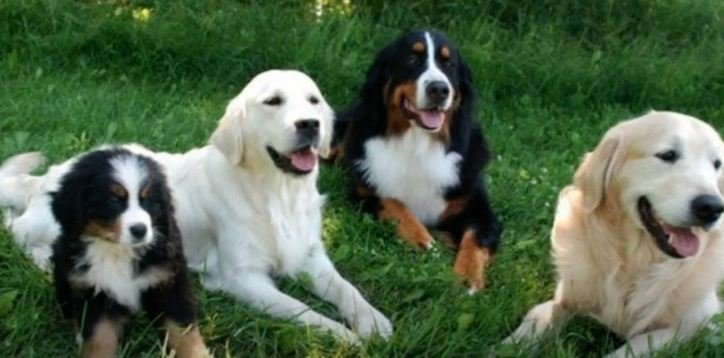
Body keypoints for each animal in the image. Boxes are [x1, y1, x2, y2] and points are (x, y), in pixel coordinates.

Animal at [50, 148, 209, 358]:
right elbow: (99, 339)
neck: (118, 251)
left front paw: (197, 354)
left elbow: (183, 330)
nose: (140, 230)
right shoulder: (94, 291)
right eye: (113, 200)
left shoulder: (169, 281)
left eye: (147, 200)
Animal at [332, 30, 498, 294]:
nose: (439, 89)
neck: (418, 143)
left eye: (449, 63)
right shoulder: (364, 192)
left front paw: (467, 276)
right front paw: (423, 240)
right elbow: (395, 205)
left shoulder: (480, 210)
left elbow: (474, 239)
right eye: (412, 59)